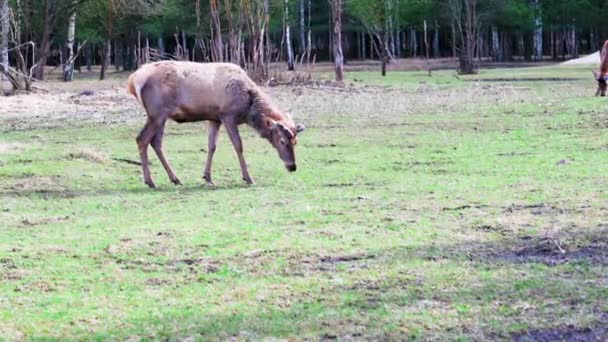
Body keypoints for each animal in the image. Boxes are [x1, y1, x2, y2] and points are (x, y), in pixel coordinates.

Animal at [126, 61, 306, 187]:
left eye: (295, 141)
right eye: (282, 141)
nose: (292, 166)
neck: (248, 107)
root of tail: (133, 80)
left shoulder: (214, 118)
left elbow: (212, 146)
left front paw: (207, 177)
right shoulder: (228, 115)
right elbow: (238, 145)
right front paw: (248, 177)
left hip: (161, 116)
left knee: (156, 142)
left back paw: (175, 178)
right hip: (157, 113)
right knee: (142, 139)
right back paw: (150, 181)